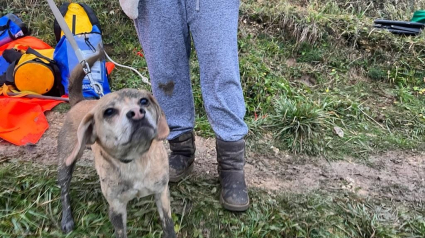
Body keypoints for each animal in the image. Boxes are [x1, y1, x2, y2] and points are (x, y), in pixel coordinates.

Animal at [56, 52, 176, 238]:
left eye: (144, 101)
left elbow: (168, 225)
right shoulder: (117, 208)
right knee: (64, 191)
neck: (135, 160)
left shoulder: (161, 193)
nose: (137, 113)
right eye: (109, 112)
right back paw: (66, 218)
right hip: (66, 162)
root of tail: (79, 102)